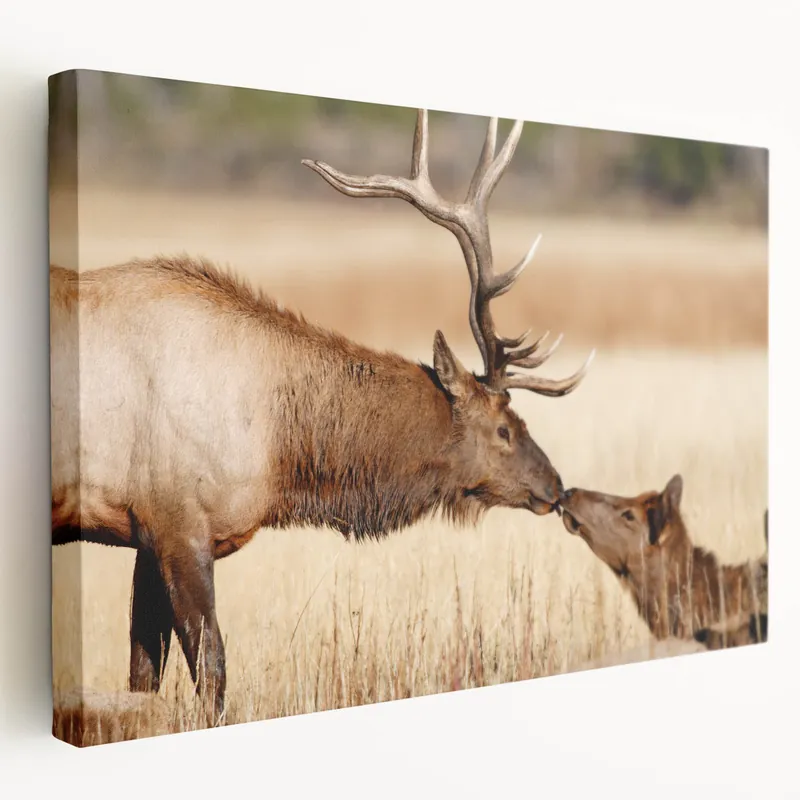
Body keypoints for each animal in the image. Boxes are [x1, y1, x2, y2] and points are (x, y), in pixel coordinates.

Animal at [50, 109, 595, 727]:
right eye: (503, 428)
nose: (554, 486)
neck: (278, 447)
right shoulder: (178, 523)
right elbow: (211, 668)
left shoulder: (144, 535)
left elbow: (142, 676)